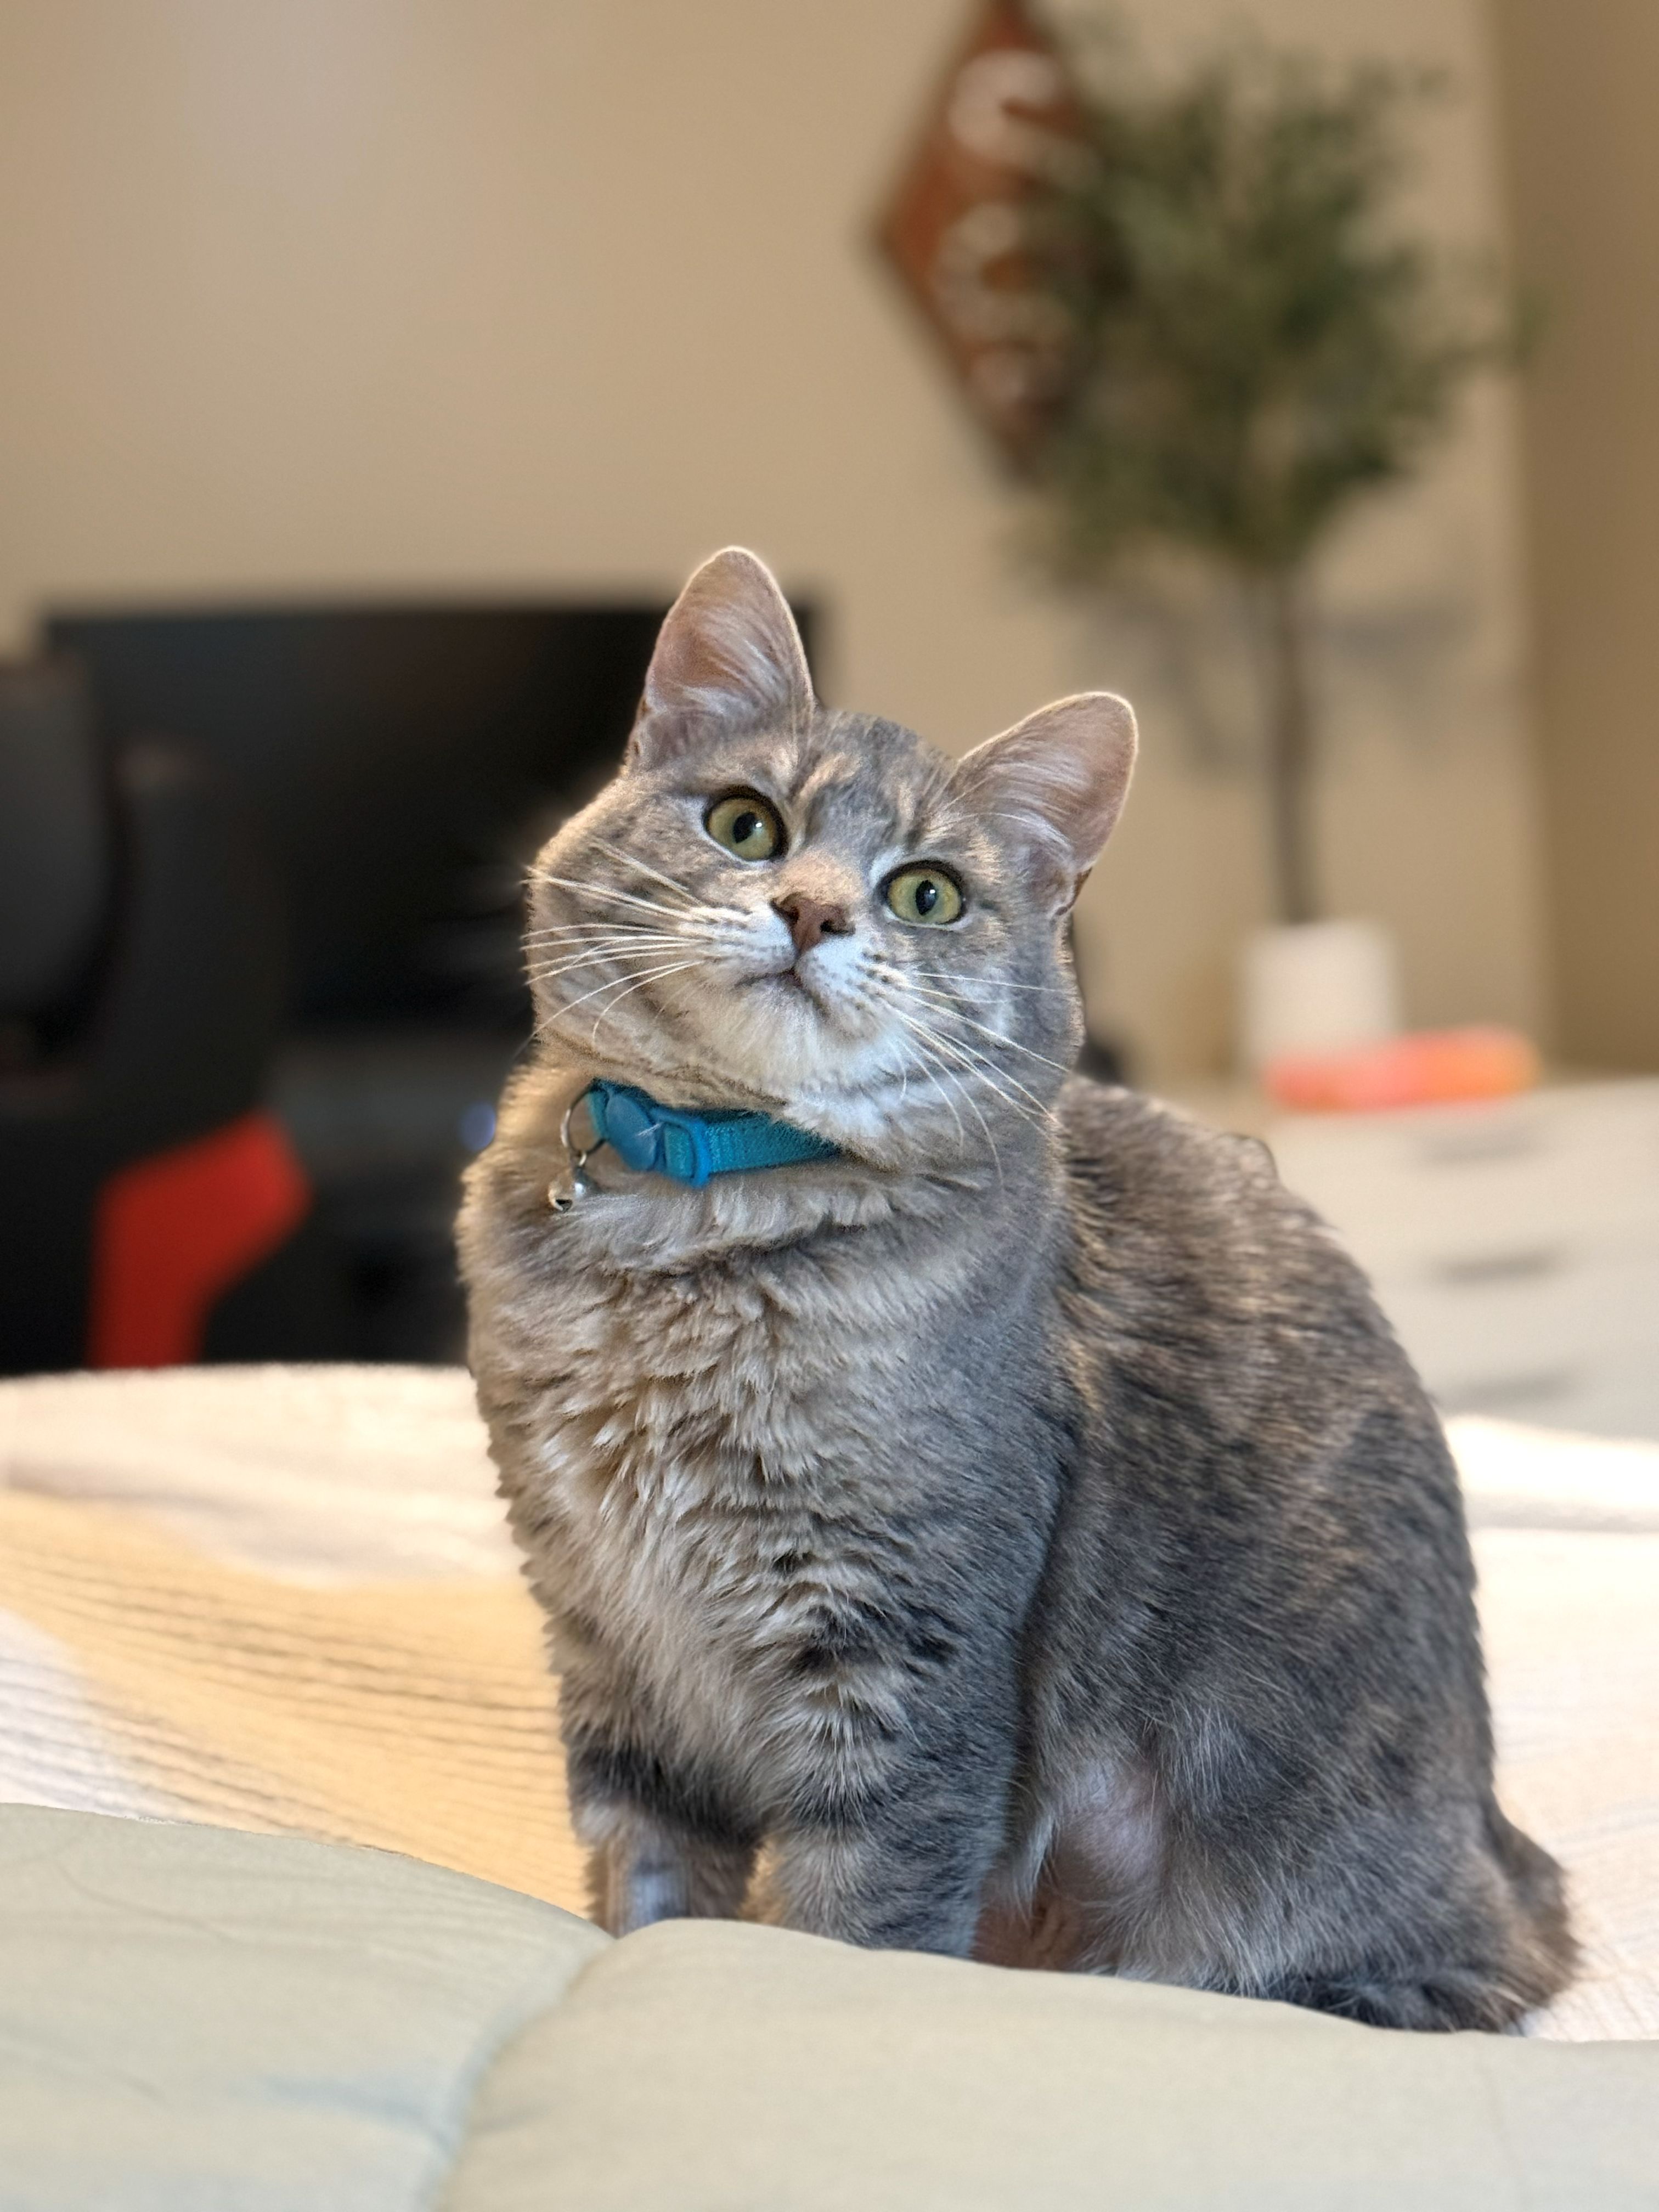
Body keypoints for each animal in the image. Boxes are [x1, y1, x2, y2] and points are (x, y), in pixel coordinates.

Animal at [458, 546, 1574, 2030]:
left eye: (928, 893)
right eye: (747, 825)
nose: (811, 910)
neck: (698, 1222)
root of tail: (1507, 1858)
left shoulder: (900, 1655)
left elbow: (850, 1926)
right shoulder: (607, 1635)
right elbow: (645, 1890)